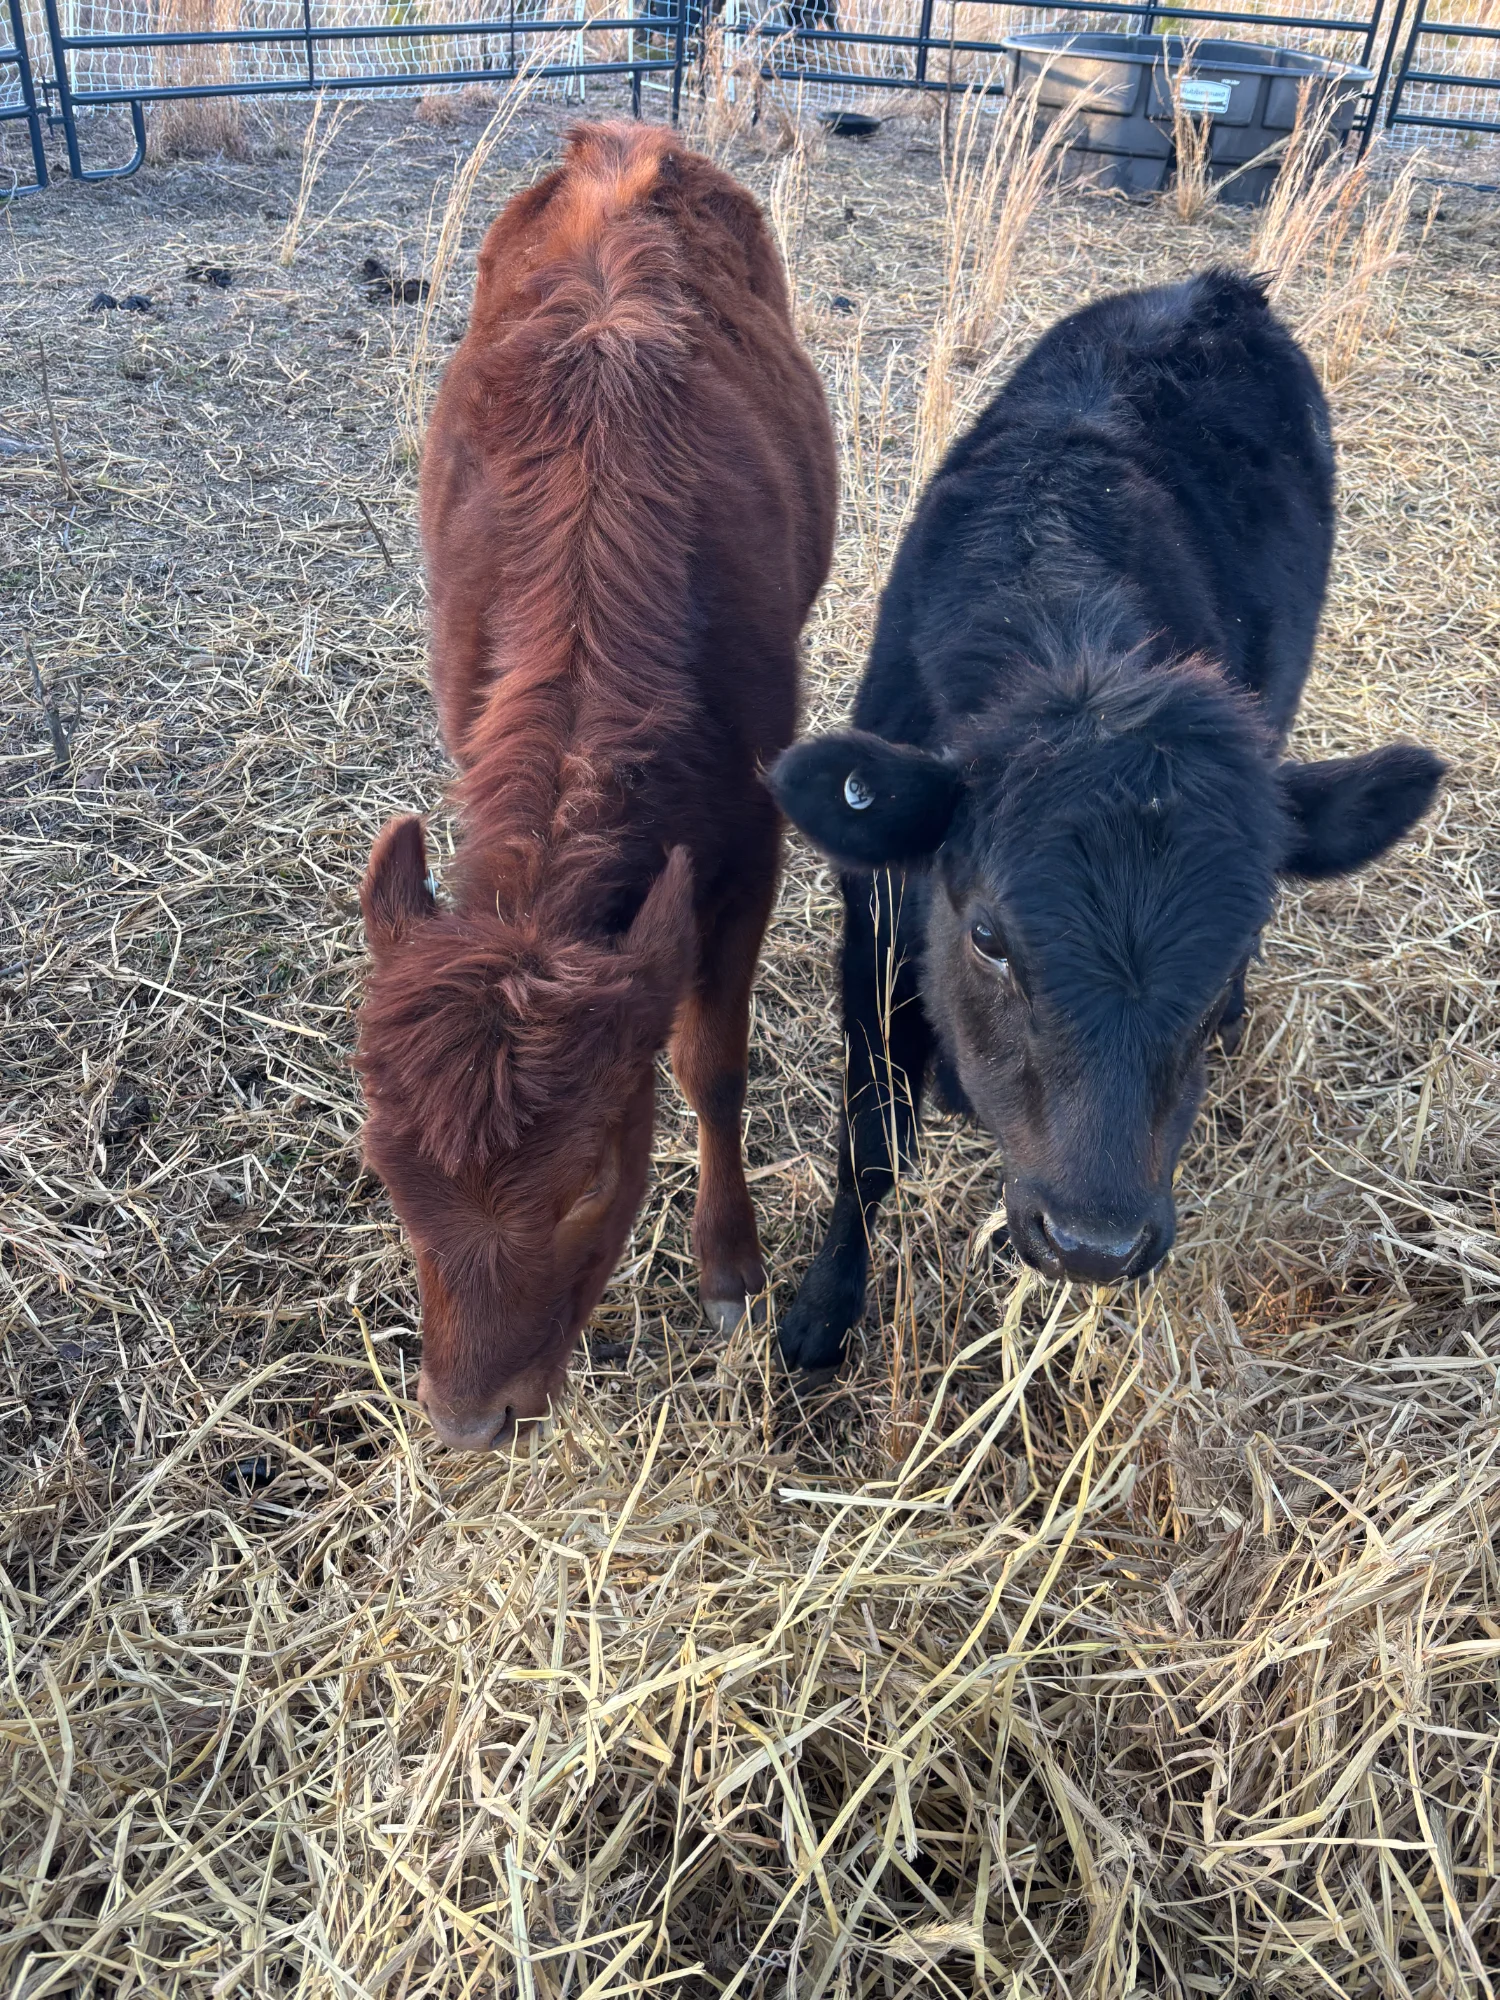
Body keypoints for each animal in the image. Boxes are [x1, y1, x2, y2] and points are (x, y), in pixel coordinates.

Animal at [357, 123, 836, 1449]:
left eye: (583, 1185)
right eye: (388, 1176)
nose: (470, 1421)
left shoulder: (750, 839)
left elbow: (711, 1064)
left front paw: (729, 1265)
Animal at [769, 269, 1443, 1372]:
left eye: (1235, 944)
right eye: (989, 936)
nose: (1094, 1240)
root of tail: (1219, 291)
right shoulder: (872, 923)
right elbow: (869, 1142)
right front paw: (819, 1319)